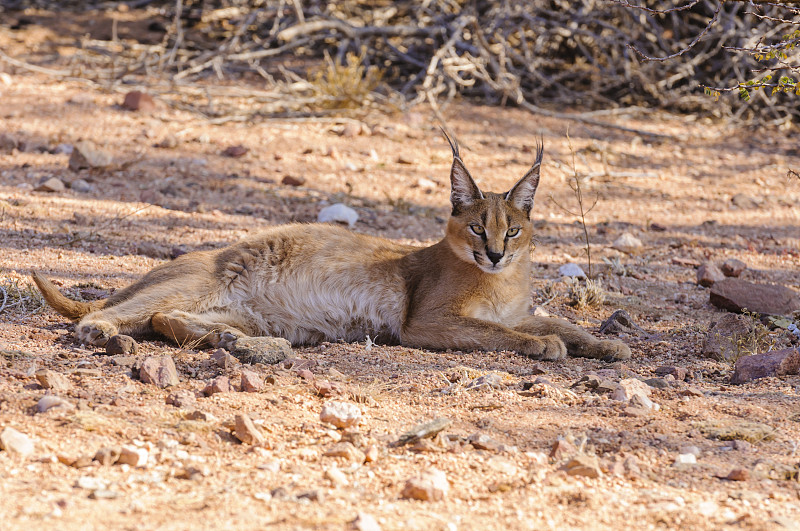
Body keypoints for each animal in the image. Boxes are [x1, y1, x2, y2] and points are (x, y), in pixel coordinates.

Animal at [32, 134, 632, 366]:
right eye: (477, 228)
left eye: (512, 231)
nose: (496, 255)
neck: (502, 281)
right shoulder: (426, 323)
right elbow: (500, 334)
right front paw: (546, 349)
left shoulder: (515, 309)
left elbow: (558, 322)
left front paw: (608, 346)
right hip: (199, 279)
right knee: (111, 315)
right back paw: (108, 335)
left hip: (246, 311)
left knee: (163, 319)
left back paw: (232, 341)